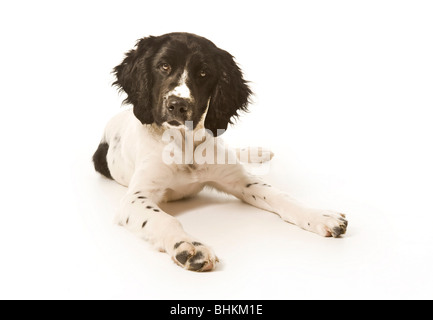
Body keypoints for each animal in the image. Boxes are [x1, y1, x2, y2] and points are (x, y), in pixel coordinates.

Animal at [93, 32, 346, 272]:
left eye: (204, 73)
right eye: (163, 66)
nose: (178, 105)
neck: (185, 144)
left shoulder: (239, 180)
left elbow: (280, 195)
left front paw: (318, 215)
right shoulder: (136, 197)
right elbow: (164, 220)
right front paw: (189, 246)